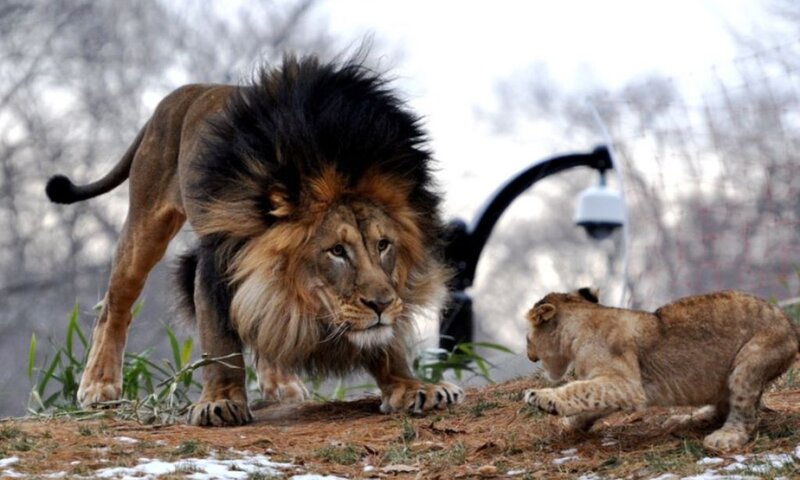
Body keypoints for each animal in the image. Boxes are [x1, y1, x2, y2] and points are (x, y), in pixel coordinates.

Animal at [45, 56, 464, 426]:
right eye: (337, 251)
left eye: (383, 245)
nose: (380, 304)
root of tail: (188, 91)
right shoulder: (217, 263)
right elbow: (220, 342)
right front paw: (220, 402)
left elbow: (382, 340)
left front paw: (412, 387)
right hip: (145, 222)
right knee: (115, 306)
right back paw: (99, 385)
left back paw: (281, 383)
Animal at [523, 288, 799, 451]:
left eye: (527, 338)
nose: (530, 357)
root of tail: (790, 325)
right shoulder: (611, 383)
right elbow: (590, 399)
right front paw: (571, 423)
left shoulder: (627, 384)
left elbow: (578, 390)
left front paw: (541, 398)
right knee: (722, 407)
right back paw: (686, 419)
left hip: (750, 362)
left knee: (746, 415)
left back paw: (725, 437)